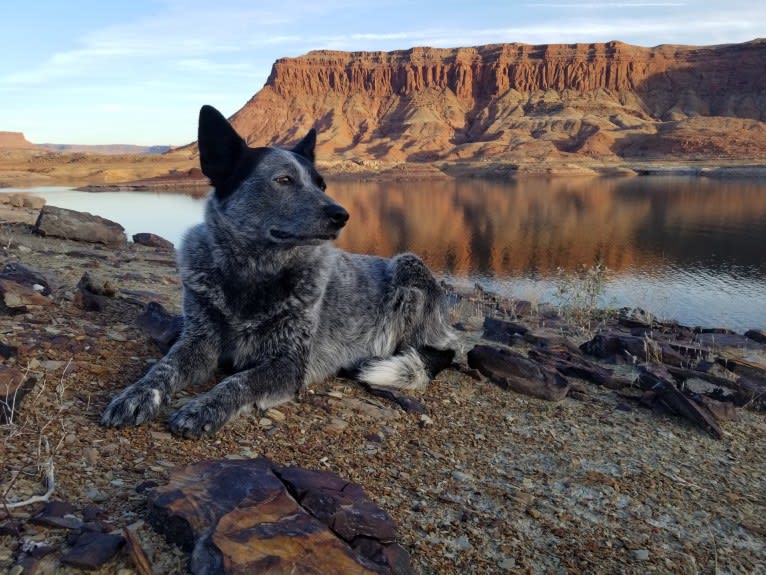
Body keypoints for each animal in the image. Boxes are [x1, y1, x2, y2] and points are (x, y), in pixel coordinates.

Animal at [104, 104, 460, 436]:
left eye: (321, 184)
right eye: (284, 180)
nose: (342, 215)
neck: (253, 271)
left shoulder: (289, 362)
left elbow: (238, 382)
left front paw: (202, 408)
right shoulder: (198, 341)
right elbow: (162, 368)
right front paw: (134, 396)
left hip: (407, 264)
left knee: (435, 350)